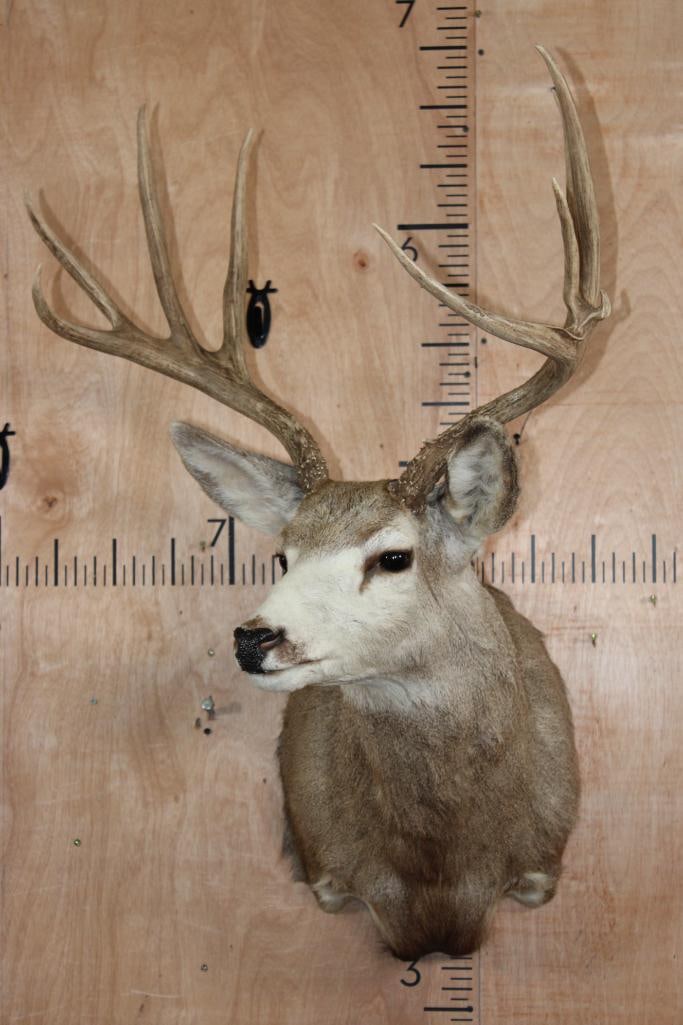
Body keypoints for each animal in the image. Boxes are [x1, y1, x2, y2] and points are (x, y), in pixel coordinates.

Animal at [26, 47, 610, 959]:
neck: (441, 865)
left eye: (393, 554)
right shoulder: (331, 871)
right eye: (281, 549)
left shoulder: (541, 866)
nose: (253, 636)